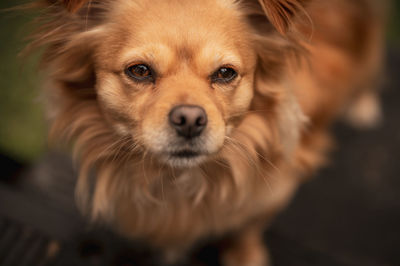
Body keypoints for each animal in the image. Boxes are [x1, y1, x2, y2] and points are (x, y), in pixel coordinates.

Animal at [28, 0, 384, 264]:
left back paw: (363, 104)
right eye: (139, 71)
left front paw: (245, 256)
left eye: (225, 73)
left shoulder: (277, 188)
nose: (189, 119)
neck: (183, 180)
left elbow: (248, 226)